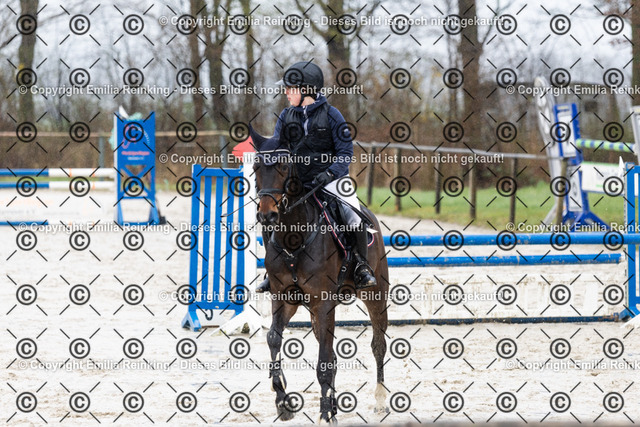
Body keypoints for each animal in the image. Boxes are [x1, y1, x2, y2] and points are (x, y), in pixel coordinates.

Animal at [250, 127, 390, 424]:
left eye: (283, 166)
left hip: (375, 295)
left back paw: (380, 401)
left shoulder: (324, 303)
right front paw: (284, 401)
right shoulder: (284, 299)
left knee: (378, 344)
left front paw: (325, 414)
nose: (267, 216)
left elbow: (325, 360)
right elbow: (273, 339)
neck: (294, 237)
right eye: (256, 167)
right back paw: (335, 405)